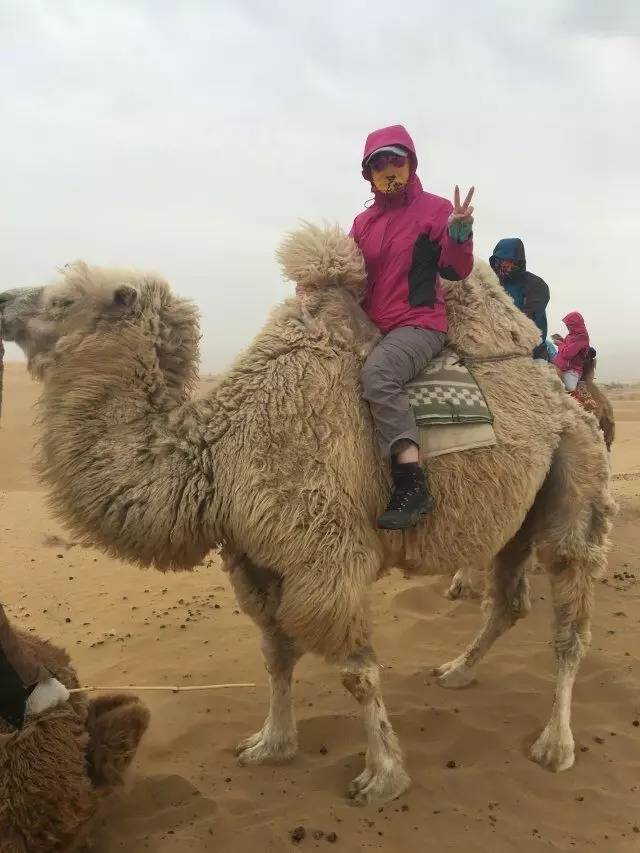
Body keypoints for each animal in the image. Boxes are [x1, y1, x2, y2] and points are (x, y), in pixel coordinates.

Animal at [0, 223, 616, 804]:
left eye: (62, 299)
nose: (4, 302)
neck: (216, 453)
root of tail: (565, 402)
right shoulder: (255, 560)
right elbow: (275, 655)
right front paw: (270, 744)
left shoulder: (325, 556)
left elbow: (357, 672)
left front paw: (382, 777)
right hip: (520, 511)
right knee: (509, 600)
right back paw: (456, 672)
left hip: (577, 470)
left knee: (569, 614)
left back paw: (555, 744)